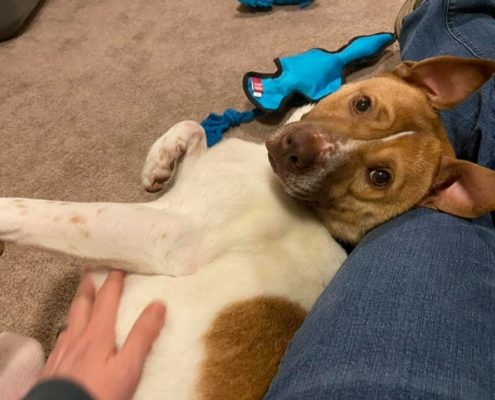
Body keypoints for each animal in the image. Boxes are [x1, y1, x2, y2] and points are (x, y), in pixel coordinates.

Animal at [0, 54, 495, 398]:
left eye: (379, 177)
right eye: (361, 103)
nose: (295, 149)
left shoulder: (169, 236)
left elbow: (46, 211)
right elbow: (193, 128)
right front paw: (158, 163)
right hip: (26, 352)